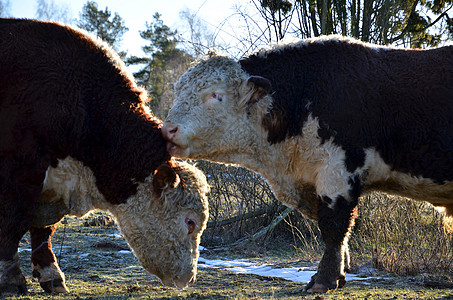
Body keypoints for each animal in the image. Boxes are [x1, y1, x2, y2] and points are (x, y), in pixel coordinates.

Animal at [0, 19, 208, 296]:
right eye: (190, 222)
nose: (190, 278)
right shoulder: (19, 176)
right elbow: (10, 226)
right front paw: (11, 281)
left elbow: (43, 232)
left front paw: (52, 276)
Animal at [162, 35, 452, 292]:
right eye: (179, 90)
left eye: (216, 95)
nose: (168, 129)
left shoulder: (337, 171)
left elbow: (334, 228)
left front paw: (324, 280)